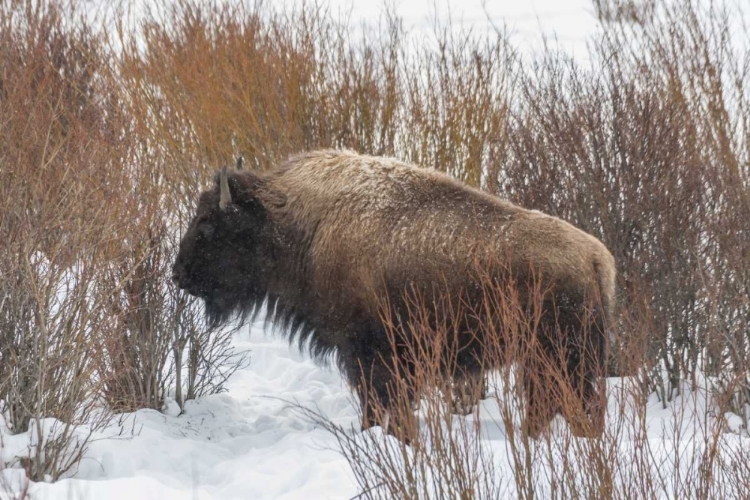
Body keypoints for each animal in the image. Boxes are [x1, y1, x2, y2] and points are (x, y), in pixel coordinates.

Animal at [173, 149, 620, 442]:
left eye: (209, 225)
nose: (178, 276)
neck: (299, 225)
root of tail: (597, 258)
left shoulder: (371, 356)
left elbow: (380, 404)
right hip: (548, 362)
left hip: (560, 360)